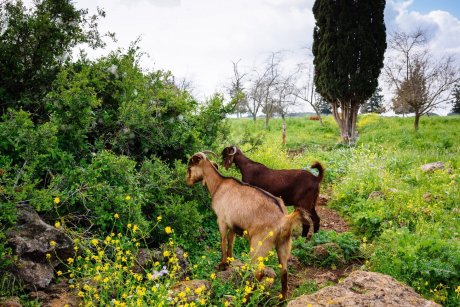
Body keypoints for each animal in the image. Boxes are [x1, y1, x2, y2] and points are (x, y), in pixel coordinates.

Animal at [185, 153, 310, 300]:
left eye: (190, 167)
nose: (187, 181)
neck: (219, 184)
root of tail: (284, 219)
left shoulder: (221, 220)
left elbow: (223, 240)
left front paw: (222, 264)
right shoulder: (233, 224)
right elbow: (231, 241)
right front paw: (229, 261)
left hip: (259, 246)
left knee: (259, 272)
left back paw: (246, 298)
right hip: (284, 244)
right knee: (284, 270)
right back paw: (281, 298)